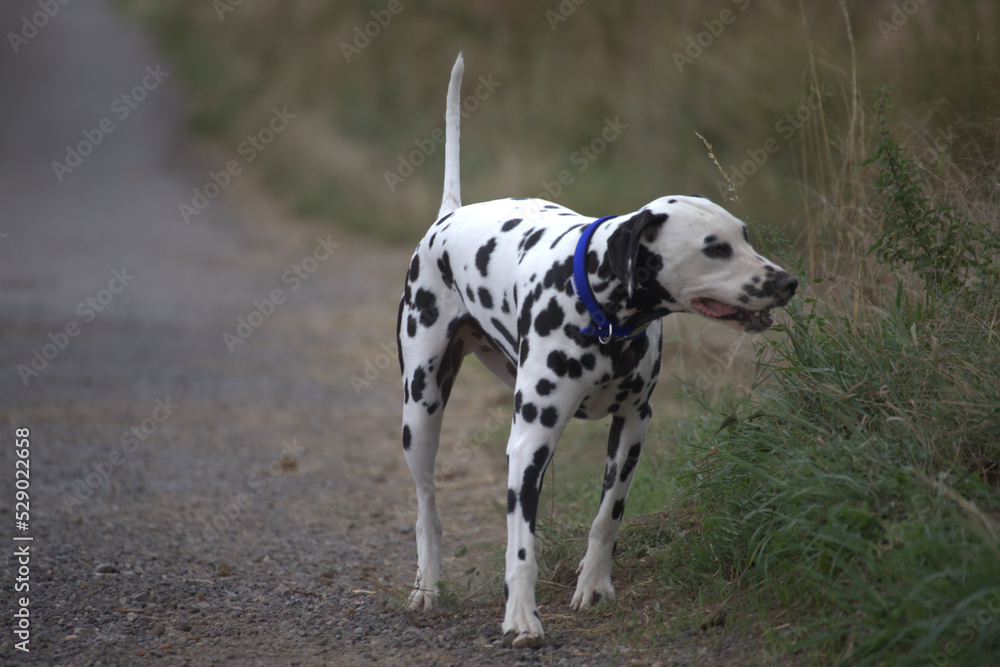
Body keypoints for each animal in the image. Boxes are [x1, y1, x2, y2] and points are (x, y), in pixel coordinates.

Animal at [398, 54, 796, 648]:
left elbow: (609, 513)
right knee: (426, 503)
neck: (602, 314)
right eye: (715, 248)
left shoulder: (633, 425)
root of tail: (449, 215)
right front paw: (522, 616)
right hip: (421, 410)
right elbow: (521, 545)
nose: (789, 282)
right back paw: (427, 584)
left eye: (745, 236)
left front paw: (594, 584)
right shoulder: (528, 440)